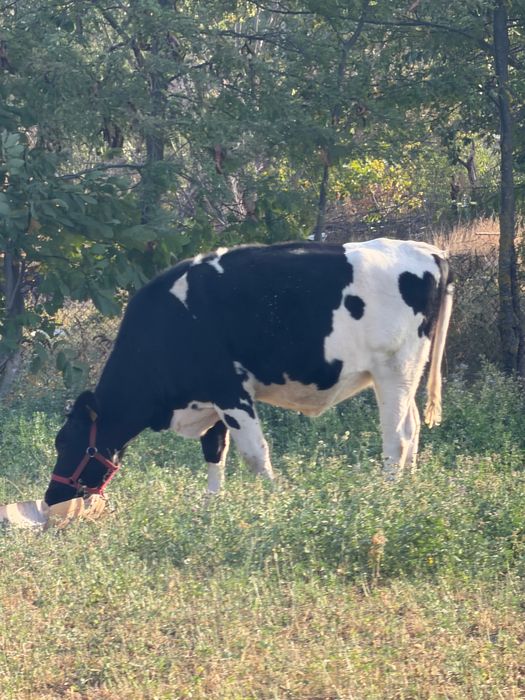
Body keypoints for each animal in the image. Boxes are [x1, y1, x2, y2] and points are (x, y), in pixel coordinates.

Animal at [44, 238, 454, 506]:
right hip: (406, 372)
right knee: (413, 427)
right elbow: (214, 452)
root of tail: (428, 251)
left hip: (394, 368)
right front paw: (211, 505)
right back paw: (409, 487)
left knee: (396, 436)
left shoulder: (230, 391)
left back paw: (388, 493)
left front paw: (271, 502)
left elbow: (255, 454)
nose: (51, 497)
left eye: (64, 442)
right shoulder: (211, 400)